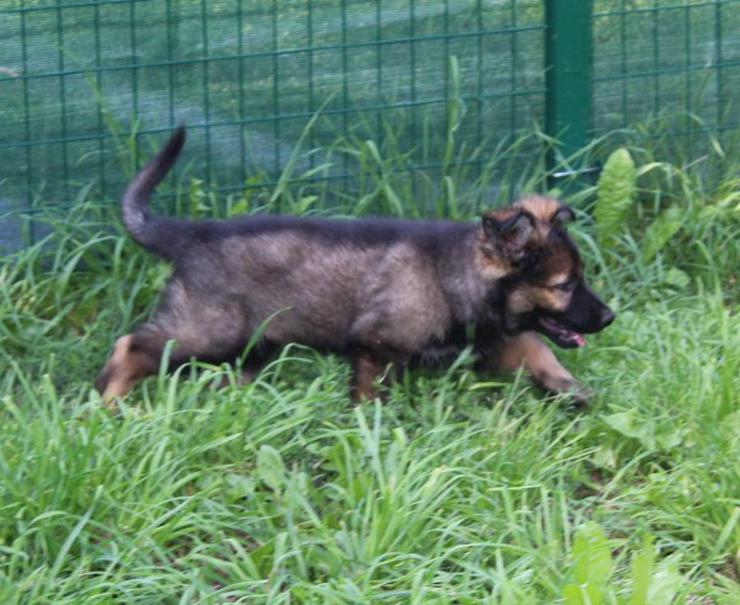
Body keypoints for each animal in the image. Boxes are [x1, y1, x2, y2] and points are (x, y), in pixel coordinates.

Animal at [95, 127, 616, 402]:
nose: (610, 316)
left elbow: (538, 350)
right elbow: (371, 392)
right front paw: (372, 429)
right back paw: (111, 403)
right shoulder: (374, 345)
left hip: (250, 343)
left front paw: (574, 390)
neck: (453, 276)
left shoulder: (492, 338)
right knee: (132, 346)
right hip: (207, 329)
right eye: (565, 285)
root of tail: (190, 235)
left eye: (580, 278)